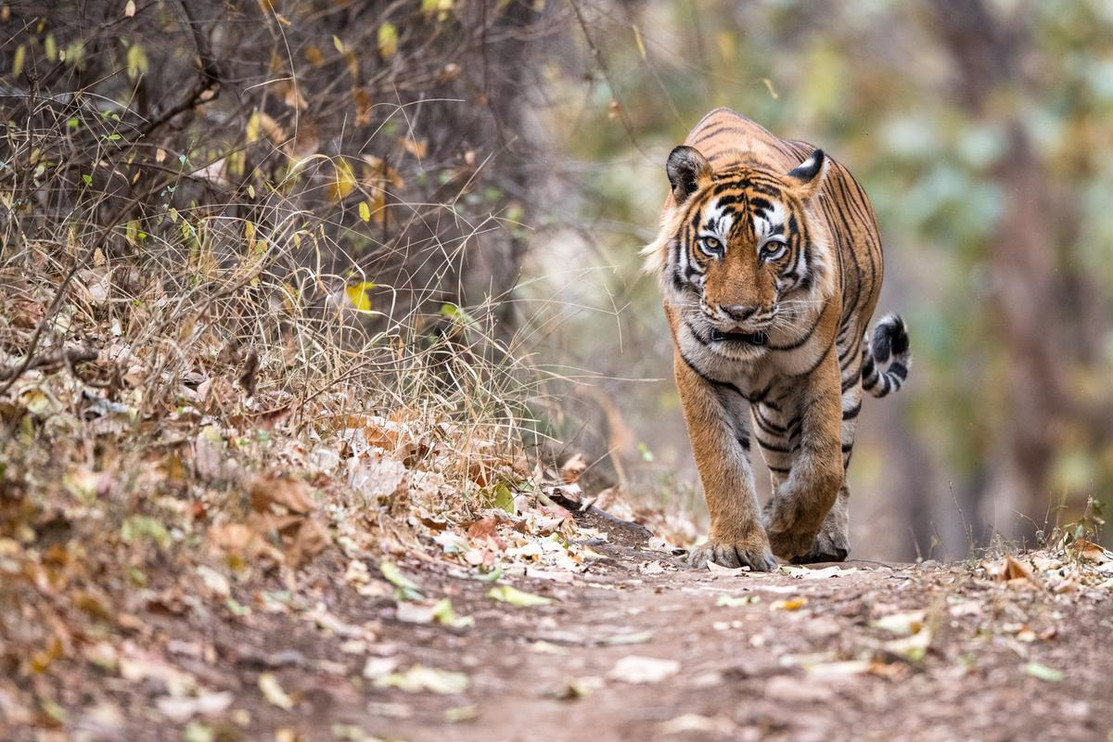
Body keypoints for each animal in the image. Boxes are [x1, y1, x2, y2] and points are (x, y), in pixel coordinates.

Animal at [645, 107, 912, 569]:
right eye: (711, 244)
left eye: (771, 248)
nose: (738, 313)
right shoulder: (699, 371)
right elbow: (722, 460)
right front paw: (737, 545)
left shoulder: (818, 367)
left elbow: (824, 464)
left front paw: (787, 531)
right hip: (770, 416)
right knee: (781, 462)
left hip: (846, 365)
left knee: (837, 461)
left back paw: (825, 541)